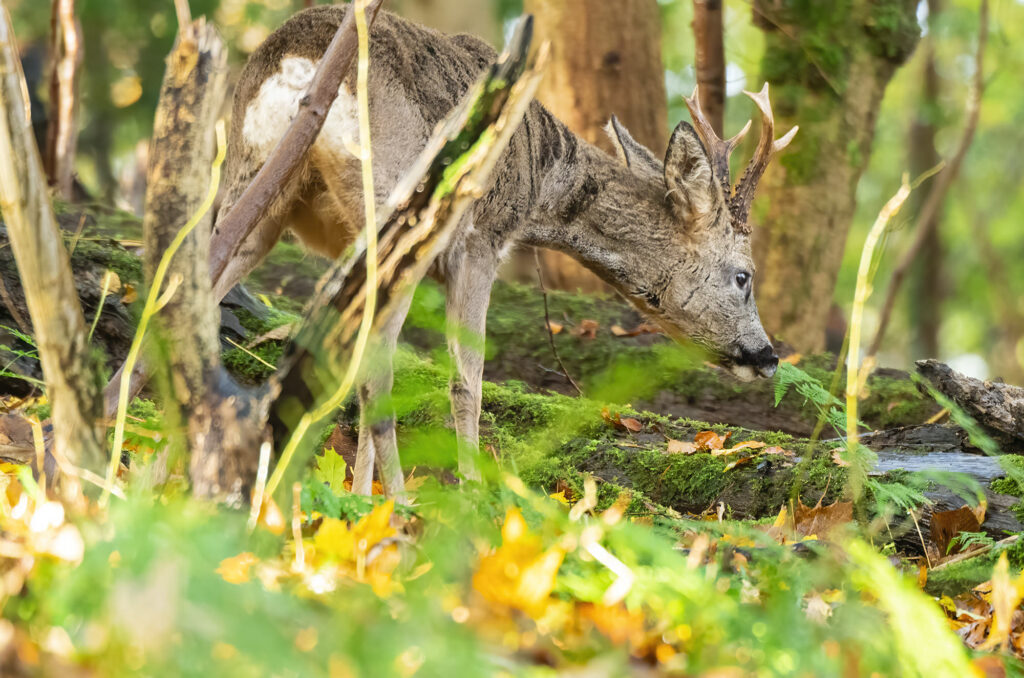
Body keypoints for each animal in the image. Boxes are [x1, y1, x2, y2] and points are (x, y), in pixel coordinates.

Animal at [204, 5, 796, 498]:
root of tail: (298, 70)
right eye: (744, 276)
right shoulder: (480, 243)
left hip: (250, 180)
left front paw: (360, 496)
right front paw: (469, 495)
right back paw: (400, 505)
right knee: (376, 372)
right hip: (391, 211)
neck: (543, 176)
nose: (767, 356)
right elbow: (467, 380)